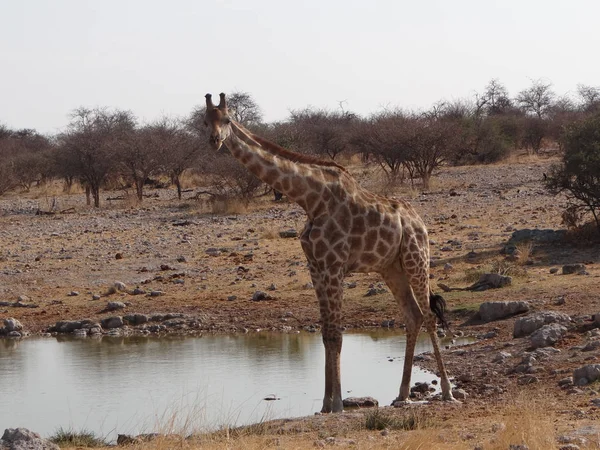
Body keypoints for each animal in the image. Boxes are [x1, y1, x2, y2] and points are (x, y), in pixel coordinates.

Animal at [204, 93, 458, 414]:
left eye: (226, 119)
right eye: (204, 122)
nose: (214, 140)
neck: (309, 199)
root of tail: (419, 221)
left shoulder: (334, 266)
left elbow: (337, 335)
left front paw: (336, 403)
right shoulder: (316, 267)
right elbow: (326, 335)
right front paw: (326, 403)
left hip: (416, 259)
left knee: (428, 315)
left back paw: (448, 391)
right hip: (391, 268)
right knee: (412, 315)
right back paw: (402, 394)